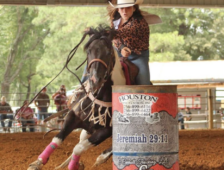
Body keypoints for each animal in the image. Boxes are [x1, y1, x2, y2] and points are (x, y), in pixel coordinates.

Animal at [27, 25, 126, 170]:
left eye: (108, 52)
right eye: (89, 51)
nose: (95, 80)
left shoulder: (106, 130)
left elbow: (78, 148)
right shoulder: (74, 116)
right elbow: (57, 139)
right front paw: (38, 162)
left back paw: (101, 158)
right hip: (86, 130)